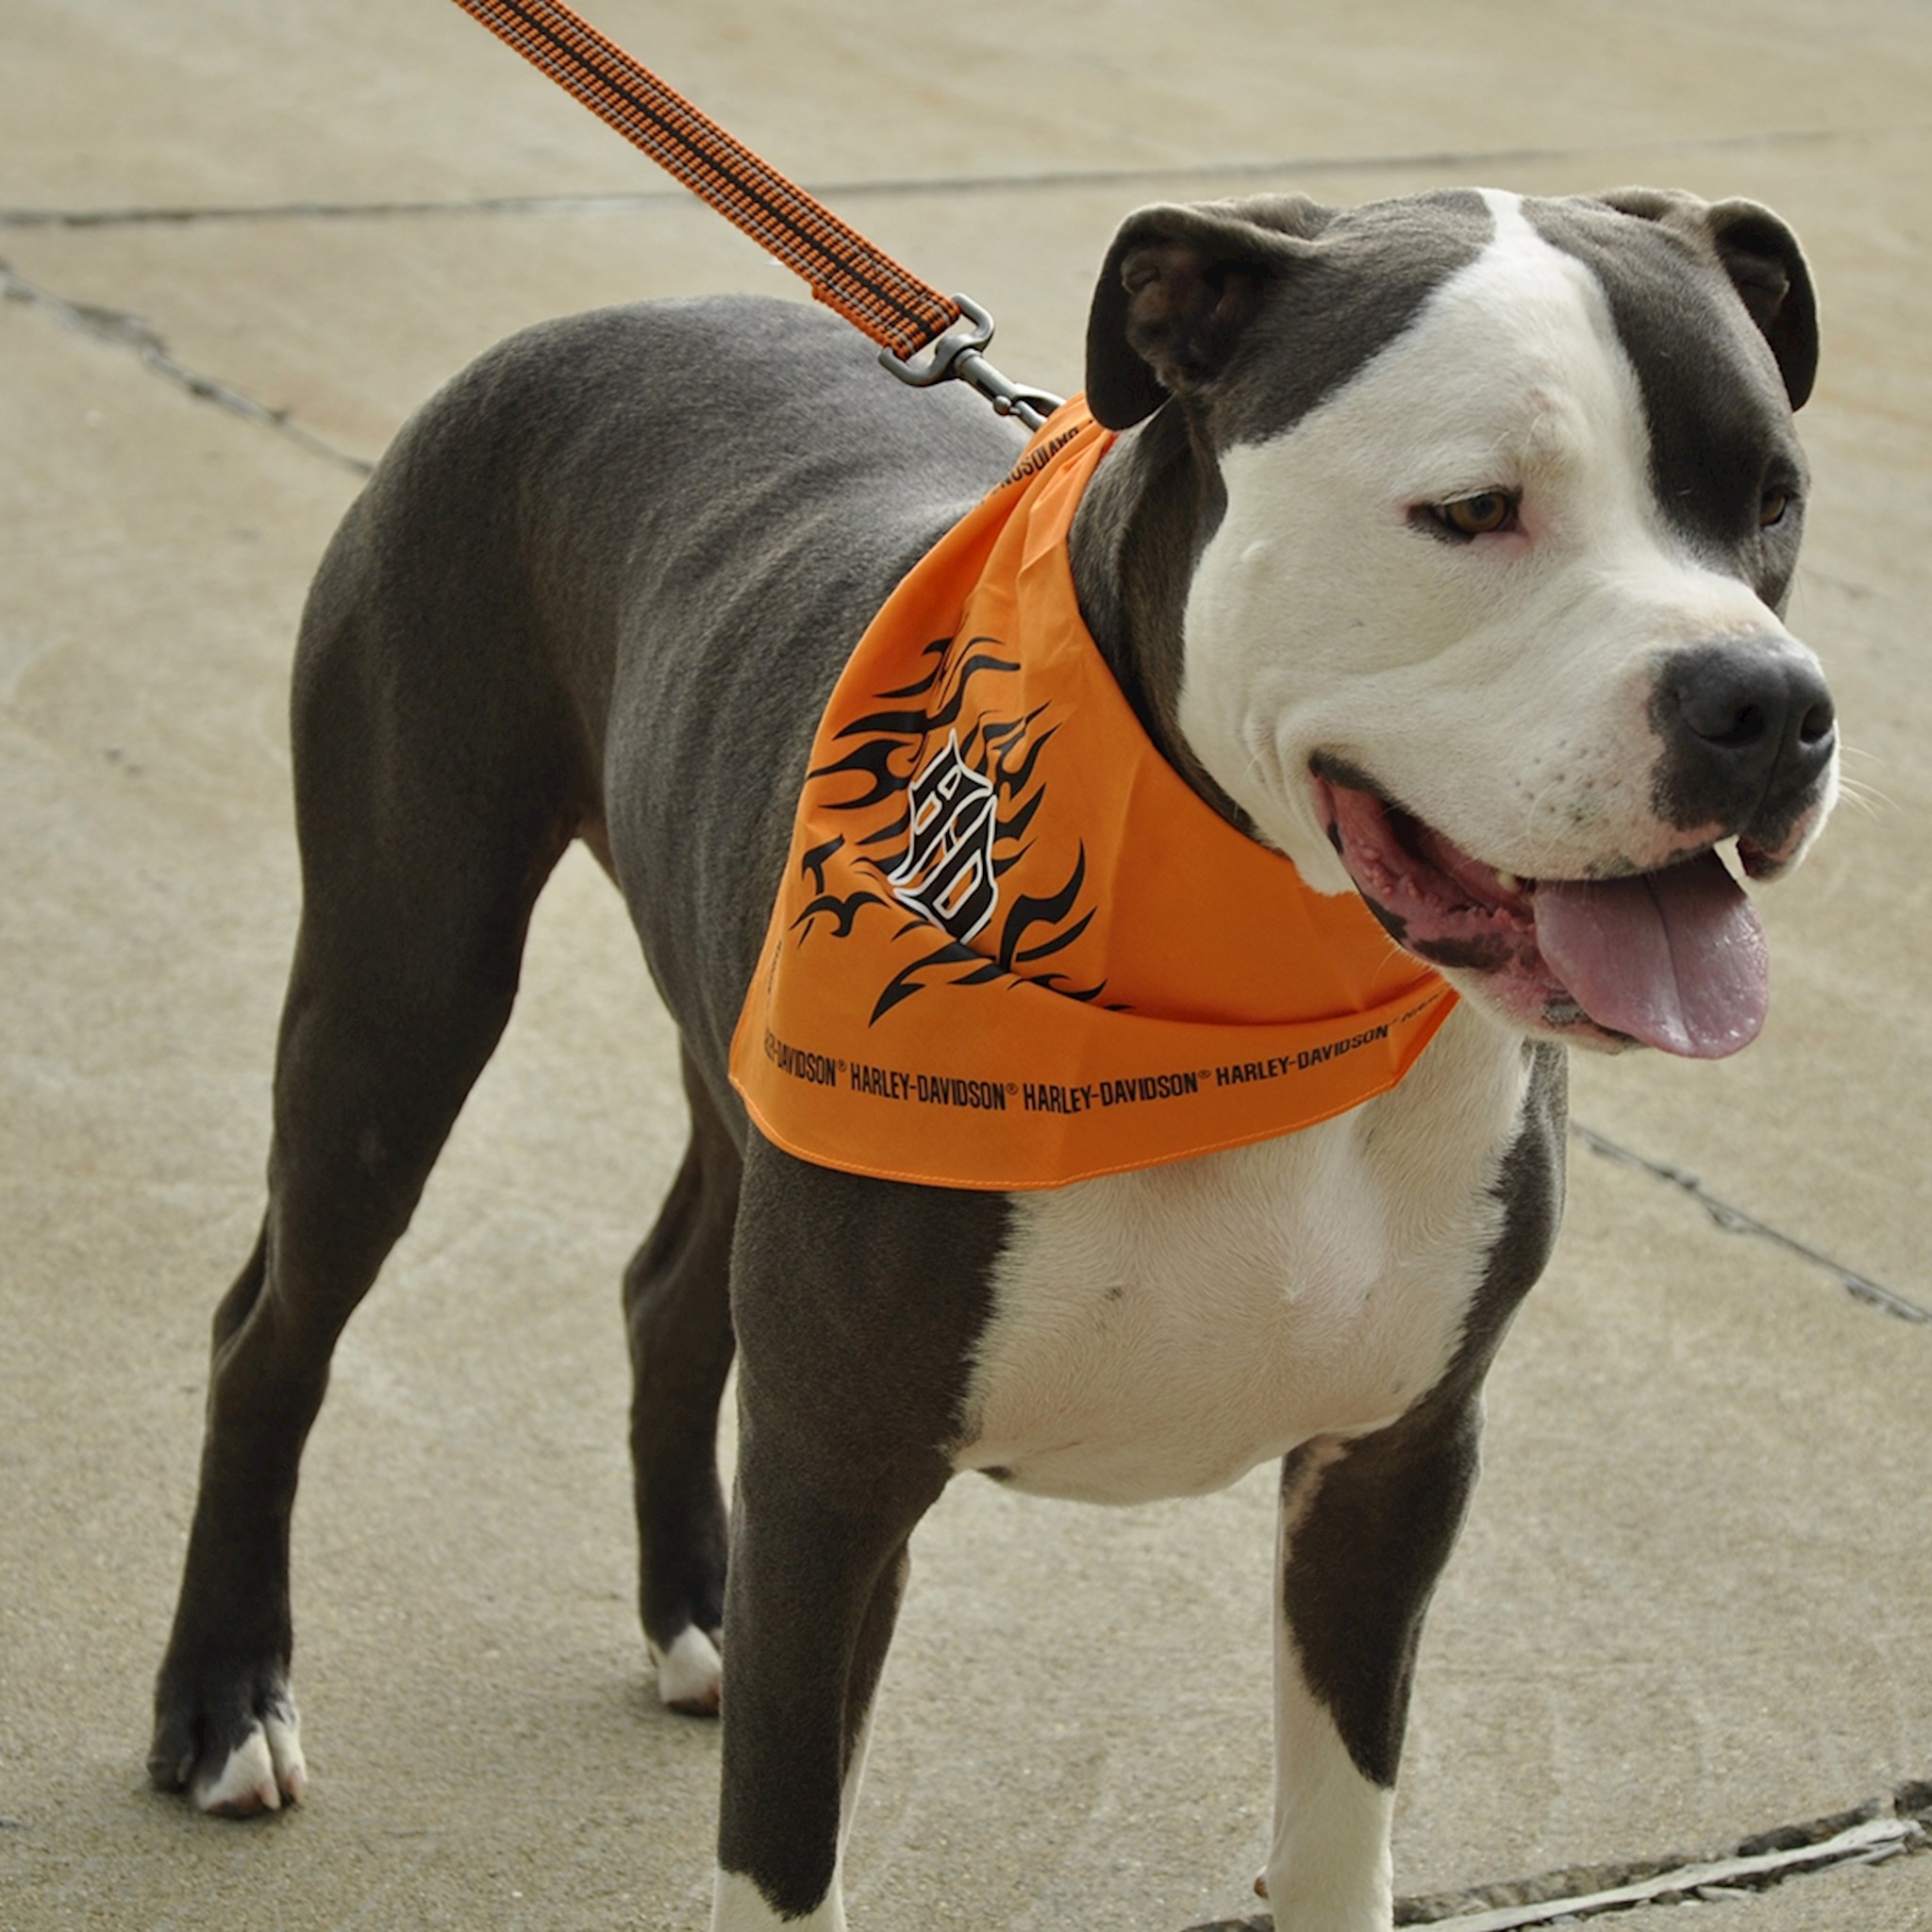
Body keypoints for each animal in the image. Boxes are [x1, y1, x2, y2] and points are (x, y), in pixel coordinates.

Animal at [158, 184, 1831, 1932]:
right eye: (1471, 510)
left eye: (1770, 500)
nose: (1768, 705)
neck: (1257, 963)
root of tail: (577, 325)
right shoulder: (837, 1477)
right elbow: (783, 1850)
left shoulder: (1391, 1468)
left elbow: (1335, 1836)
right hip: (401, 984)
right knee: (270, 1330)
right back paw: (225, 1701)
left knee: (669, 1293)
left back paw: (695, 1606)